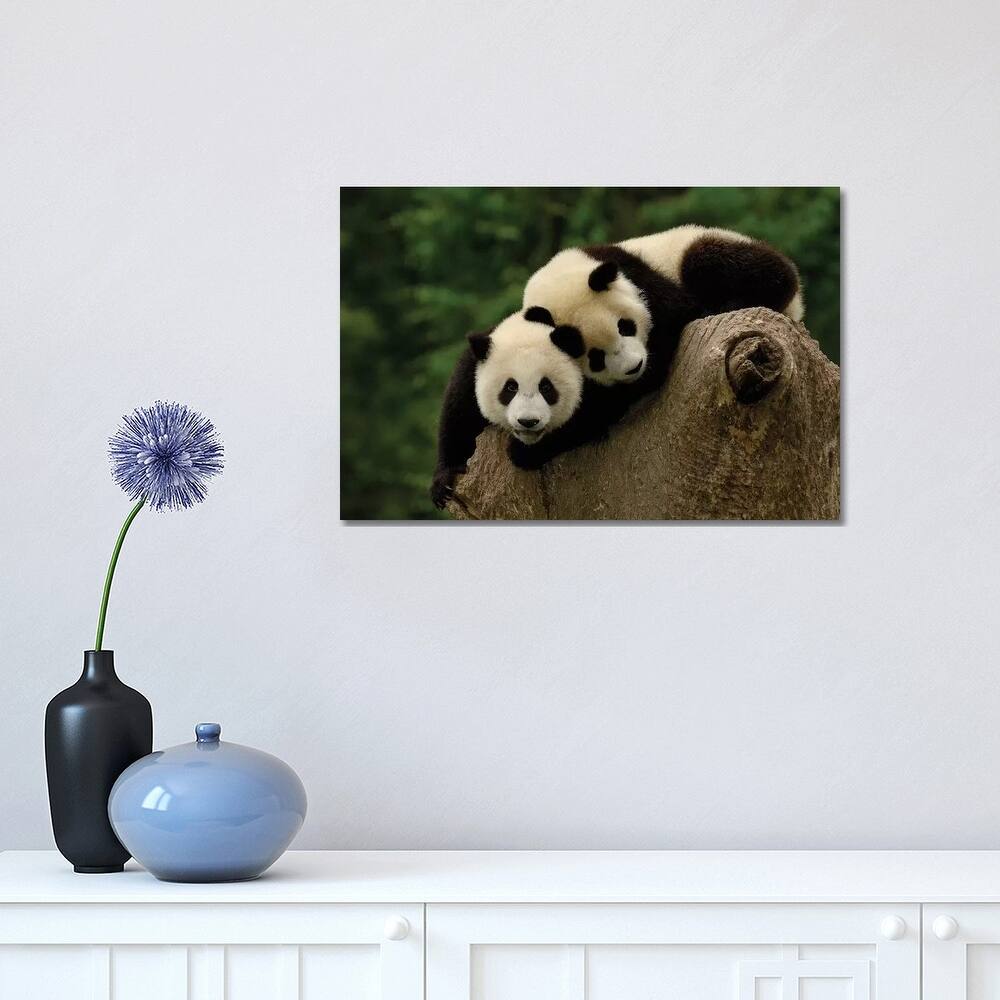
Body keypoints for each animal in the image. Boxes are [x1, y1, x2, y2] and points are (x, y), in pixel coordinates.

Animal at [431, 312, 585, 509]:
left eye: (546, 387)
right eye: (511, 387)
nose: (528, 422)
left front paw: (522, 453)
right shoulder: (473, 368)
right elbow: (458, 414)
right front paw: (444, 483)